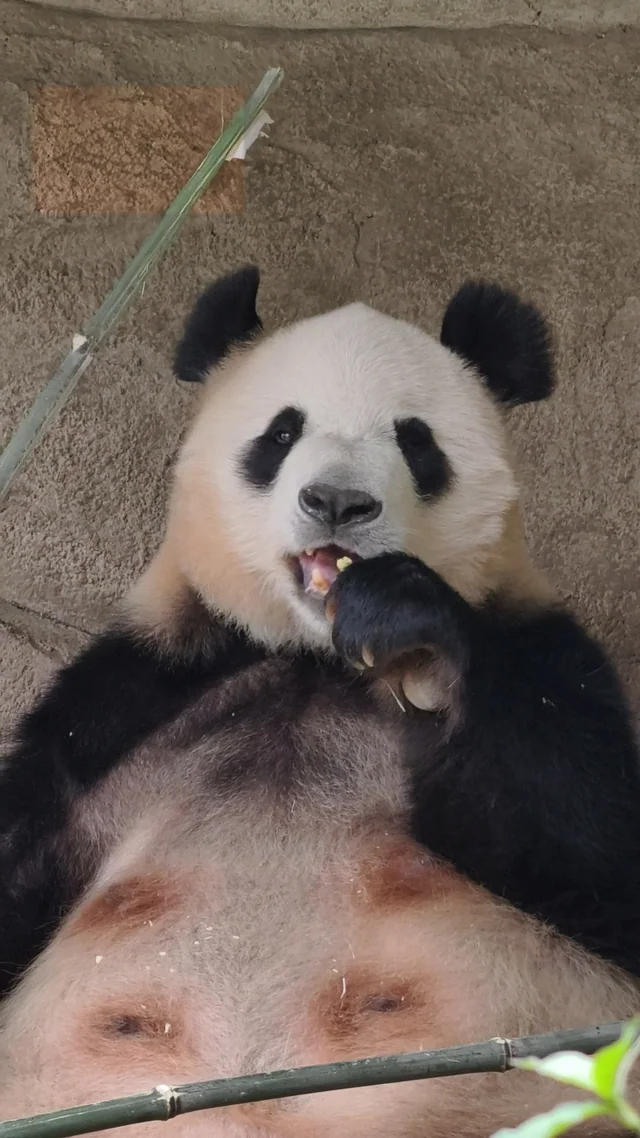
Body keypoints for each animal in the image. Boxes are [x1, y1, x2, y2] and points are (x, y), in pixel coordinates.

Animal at [0, 266, 639, 1138]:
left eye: (415, 439)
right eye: (280, 434)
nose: (337, 502)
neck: (317, 657)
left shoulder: (547, 649)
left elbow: (596, 850)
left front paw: (412, 622)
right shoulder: (129, 701)